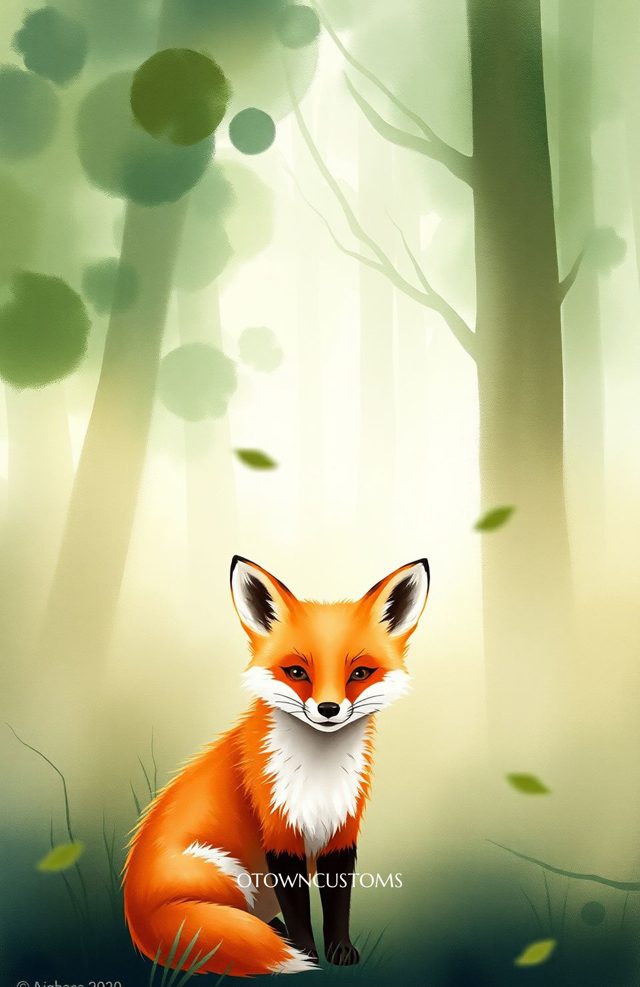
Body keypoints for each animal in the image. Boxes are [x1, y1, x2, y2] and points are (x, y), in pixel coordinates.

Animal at [123, 555, 430, 977]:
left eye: (360, 673)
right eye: (297, 672)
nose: (329, 709)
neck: (319, 775)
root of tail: (136, 917)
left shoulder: (342, 834)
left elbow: (338, 906)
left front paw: (340, 951)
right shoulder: (280, 835)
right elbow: (300, 912)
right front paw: (308, 954)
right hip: (229, 873)